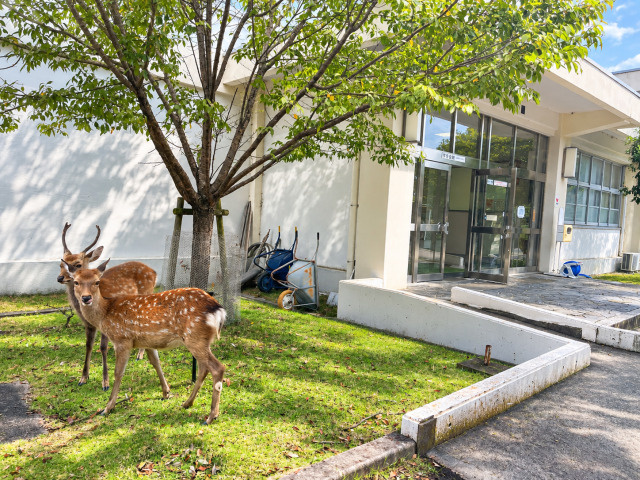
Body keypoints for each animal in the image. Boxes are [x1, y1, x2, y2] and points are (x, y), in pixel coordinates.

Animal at [57, 223, 157, 390]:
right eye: (60, 264)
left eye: (78, 264)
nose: (60, 278)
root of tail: (154, 271)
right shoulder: (88, 324)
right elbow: (88, 345)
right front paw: (83, 378)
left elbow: (103, 347)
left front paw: (105, 382)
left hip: (146, 293)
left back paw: (140, 355)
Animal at [62, 258, 226, 424]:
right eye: (76, 282)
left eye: (97, 282)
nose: (86, 298)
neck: (105, 313)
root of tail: (218, 310)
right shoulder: (147, 341)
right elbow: (155, 362)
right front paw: (166, 393)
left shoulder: (122, 339)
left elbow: (118, 373)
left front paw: (107, 407)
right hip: (200, 340)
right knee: (203, 368)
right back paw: (187, 403)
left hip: (194, 337)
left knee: (217, 367)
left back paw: (211, 416)